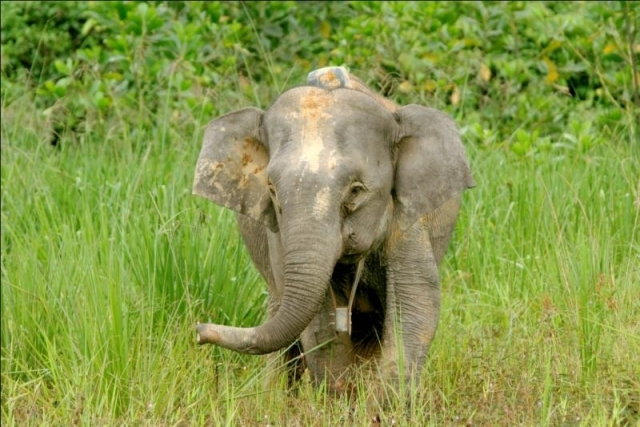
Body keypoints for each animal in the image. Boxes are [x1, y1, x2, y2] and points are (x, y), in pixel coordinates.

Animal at [192, 65, 472, 396]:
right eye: (272, 190)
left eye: (356, 191)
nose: (199, 330)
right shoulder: (279, 234)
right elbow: (318, 321)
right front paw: (340, 396)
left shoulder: (407, 219)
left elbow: (416, 303)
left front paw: (379, 402)